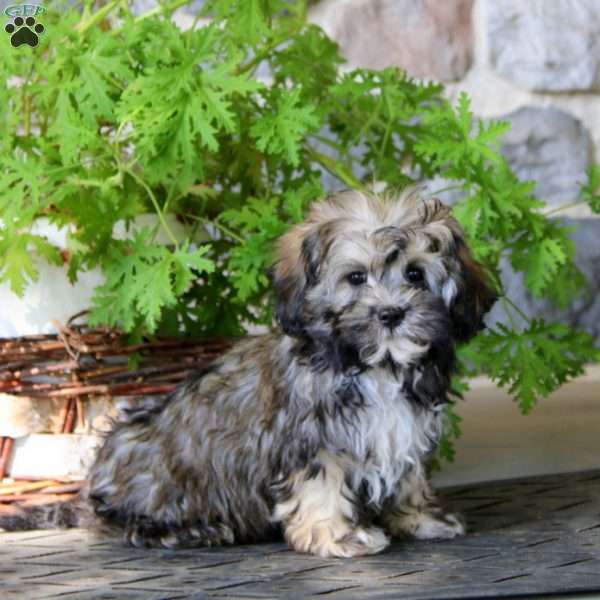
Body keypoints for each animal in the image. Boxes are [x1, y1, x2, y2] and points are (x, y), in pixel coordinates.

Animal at [1, 189, 496, 556]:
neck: (372, 364)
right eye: (356, 278)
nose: (391, 314)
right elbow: (322, 486)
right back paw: (192, 529)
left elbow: (408, 477)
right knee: (127, 524)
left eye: (415, 274)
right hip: (150, 467)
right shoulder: (310, 442)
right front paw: (339, 536)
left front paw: (421, 518)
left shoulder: (404, 429)